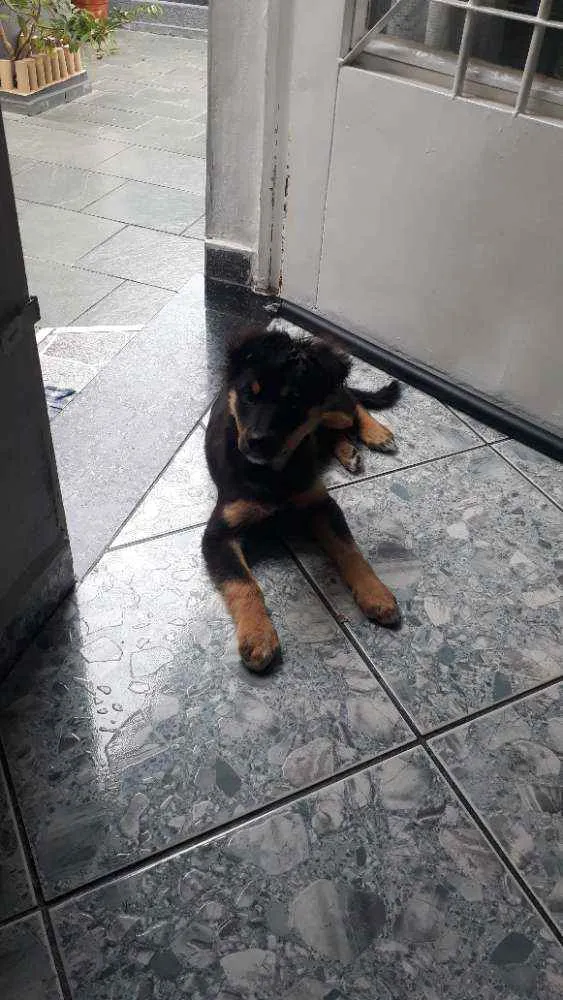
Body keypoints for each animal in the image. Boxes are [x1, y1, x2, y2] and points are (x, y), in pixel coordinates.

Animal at [202, 325, 401, 672]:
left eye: (293, 402)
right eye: (249, 394)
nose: (257, 442)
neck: (272, 473)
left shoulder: (322, 506)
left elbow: (350, 551)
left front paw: (376, 594)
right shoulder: (218, 533)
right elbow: (243, 583)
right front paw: (257, 636)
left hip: (330, 409)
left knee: (352, 405)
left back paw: (377, 434)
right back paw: (349, 452)